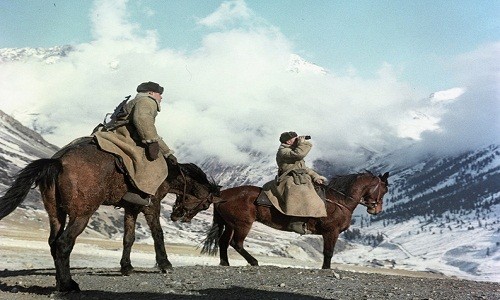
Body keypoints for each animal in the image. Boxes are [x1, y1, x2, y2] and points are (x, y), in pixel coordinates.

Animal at [0, 142, 221, 292]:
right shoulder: (152, 206)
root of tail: (58, 161)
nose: (180, 217)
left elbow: (128, 238)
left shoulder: (131, 208)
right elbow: (158, 233)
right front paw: (165, 264)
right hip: (81, 214)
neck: (167, 174)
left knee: (54, 243)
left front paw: (127, 267)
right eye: (205, 205)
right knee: (63, 243)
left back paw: (61, 283)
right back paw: (69, 285)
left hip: (56, 214)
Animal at [201, 172, 388, 268]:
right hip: (242, 224)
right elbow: (328, 252)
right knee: (236, 243)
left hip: (230, 224)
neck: (339, 201)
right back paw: (254, 262)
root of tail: (223, 194)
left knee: (223, 242)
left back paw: (225, 263)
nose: (376, 210)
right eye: (385, 189)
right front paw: (326, 269)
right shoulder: (331, 232)